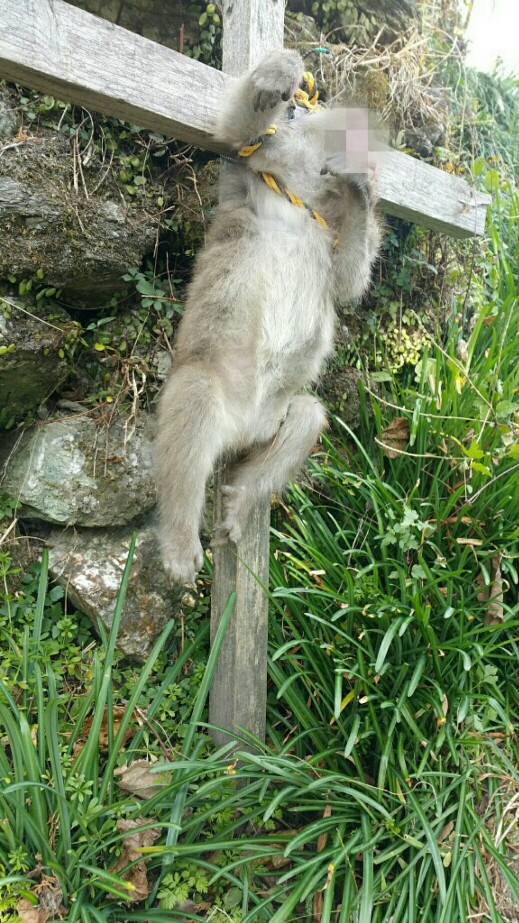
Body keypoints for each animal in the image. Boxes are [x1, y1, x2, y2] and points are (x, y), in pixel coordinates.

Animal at [154, 49, 381, 584]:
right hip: (217, 396)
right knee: (194, 394)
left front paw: (361, 185)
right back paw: (179, 538)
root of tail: (240, 429)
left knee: (308, 413)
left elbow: (346, 282)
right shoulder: (261, 165)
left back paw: (243, 497)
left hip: (270, 420)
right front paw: (279, 73)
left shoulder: (329, 218)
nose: (362, 140)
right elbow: (239, 134)